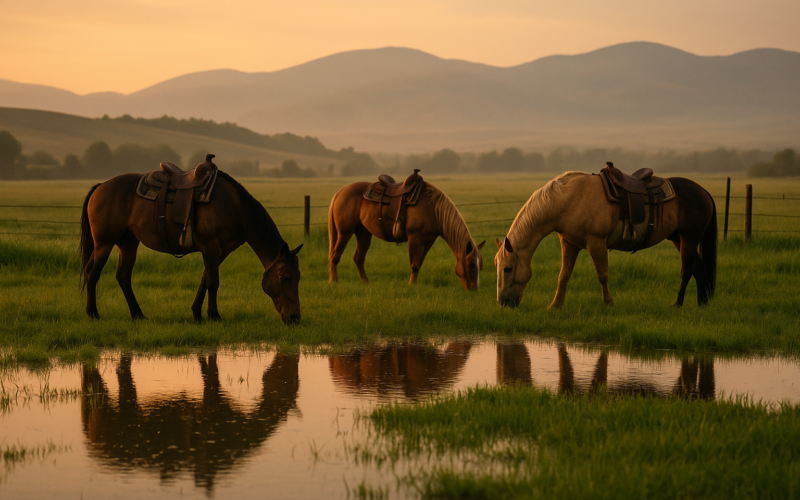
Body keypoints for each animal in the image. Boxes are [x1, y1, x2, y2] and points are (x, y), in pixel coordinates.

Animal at [79, 166, 303, 325]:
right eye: (285, 277)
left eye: (298, 277)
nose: (295, 318)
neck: (234, 207)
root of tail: (100, 186)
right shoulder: (211, 247)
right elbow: (213, 282)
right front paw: (214, 315)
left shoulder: (220, 250)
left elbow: (205, 279)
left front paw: (197, 313)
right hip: (104, 244)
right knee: (92, 273)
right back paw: (93, 313)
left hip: (128, 243)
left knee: (123, 276)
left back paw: (137, 314)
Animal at [328, 178, 485, 289]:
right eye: (471, 265)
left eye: (481, 266)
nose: (474, 289)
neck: (434, 208)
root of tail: (340, 192)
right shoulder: (415, 238)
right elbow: (414, 264)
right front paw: (412, 285)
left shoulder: (428, 240)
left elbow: (419, 263)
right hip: (344, 233)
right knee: (335, 255)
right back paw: (334, 281)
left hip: (363, 233)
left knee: (358, 259)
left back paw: (365, 282)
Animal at [495, 171, 717, 308]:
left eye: (507, 269)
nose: (502, 302)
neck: (567, 199)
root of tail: (703, 191)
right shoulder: (569, 243)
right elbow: (564, 275)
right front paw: (556, 305)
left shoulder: (596, 243)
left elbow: (602, 275)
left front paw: (609, 303)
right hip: (678, 238)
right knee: (699, 269)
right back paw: (702, 303)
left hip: (690, 237)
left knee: (686, 271)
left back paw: (678, 304)